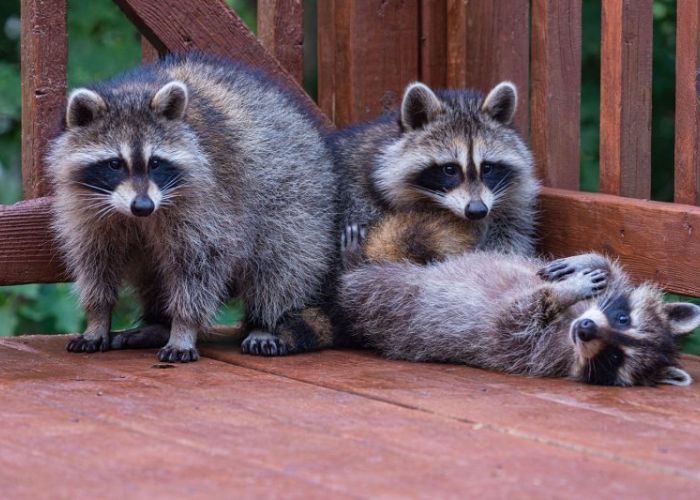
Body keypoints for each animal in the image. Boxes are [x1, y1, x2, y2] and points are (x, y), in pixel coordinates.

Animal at [47, 53, 338, 362]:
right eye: (115, 164)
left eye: (155, 163)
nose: (143, 206)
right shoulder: (87, 209)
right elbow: (96, 262)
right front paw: (98, 317)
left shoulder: (209, 201)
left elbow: (199, 266)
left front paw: (183, 327)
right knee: (154, 272)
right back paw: (158, 324)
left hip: (296, 198)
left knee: (280, 264)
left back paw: (264, 322)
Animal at [331, 80, 539, 261]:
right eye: (450, 169)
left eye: (487, 167)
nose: (477, 210)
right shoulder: (360, 199)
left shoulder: (512, 209)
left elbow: (508, 238)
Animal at [339, 252, 698, 386]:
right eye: (623, 318)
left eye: (614, 358)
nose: (586, 328)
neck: (570, 322)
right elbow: (613, 272)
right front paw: (588, 265)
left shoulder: (528, 349)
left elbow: (516, 316)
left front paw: (558, 293)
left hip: (391, 304)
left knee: (367, 287)